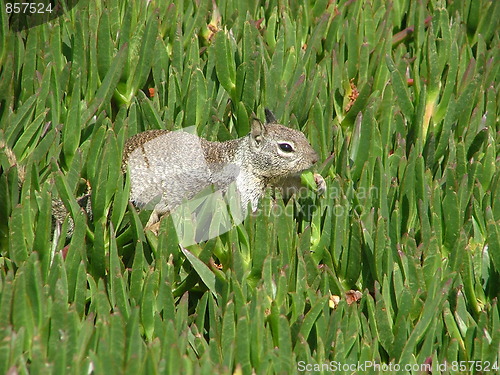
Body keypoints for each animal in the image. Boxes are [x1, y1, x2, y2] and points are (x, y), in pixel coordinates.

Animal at [123, 109, 322, 229]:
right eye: (286, 147)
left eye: (302, 134)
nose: (315, 158)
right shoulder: (242, 190)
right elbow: (247, 211)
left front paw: (319, 181)